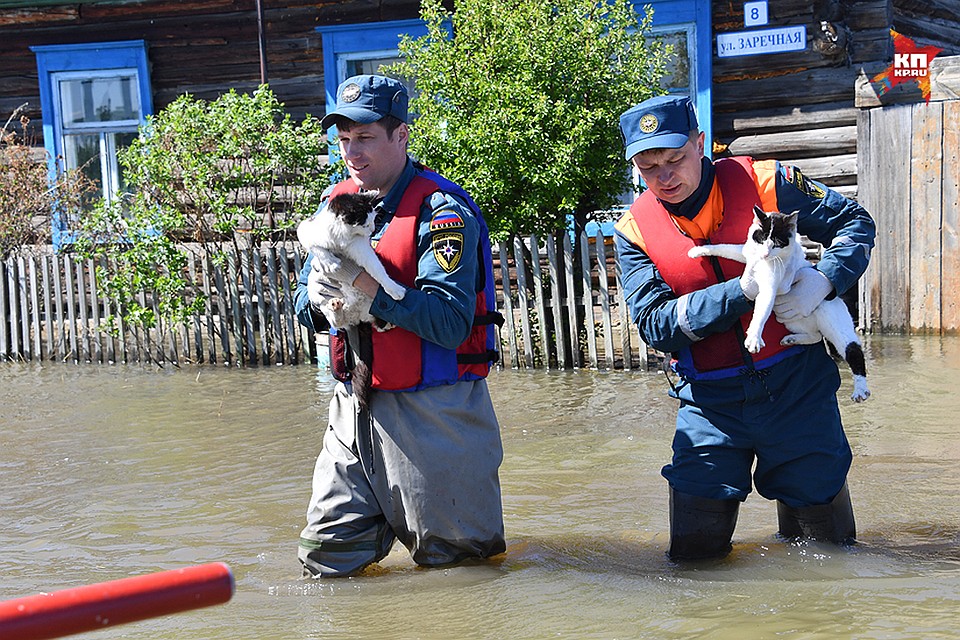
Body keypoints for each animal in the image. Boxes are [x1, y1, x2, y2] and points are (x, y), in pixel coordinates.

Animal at [688, 208, 872, 402]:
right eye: (761, 239)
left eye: (776, 244)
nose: (765, 254)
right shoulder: (746, 253)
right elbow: (724, 247)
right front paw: (698, 250)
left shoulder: (770, 287)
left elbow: (761, 312)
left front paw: (753, 337)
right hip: (793, 322)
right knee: (814, 336)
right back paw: (792, 339)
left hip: (835, 325)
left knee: (853, 350)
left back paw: (861, 389)